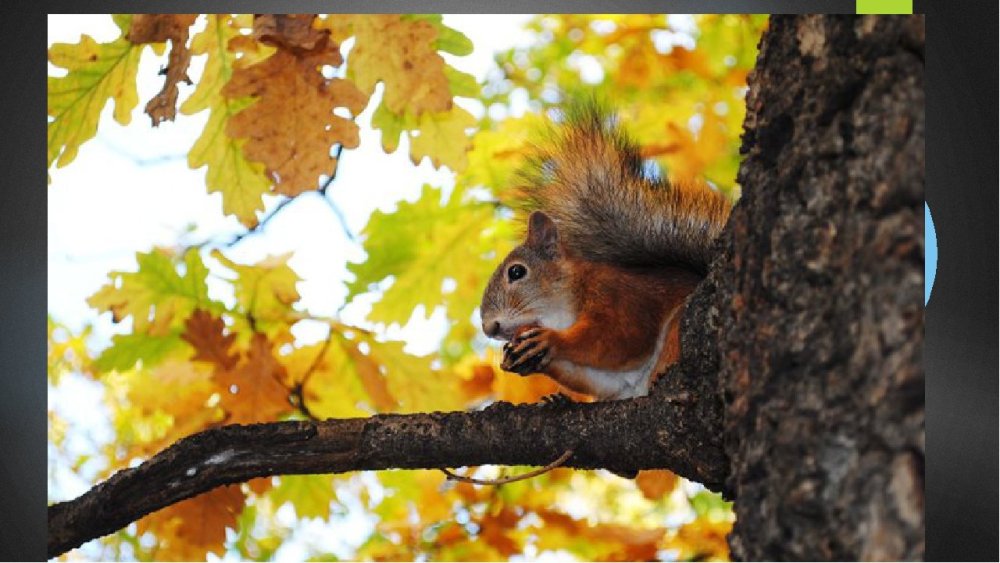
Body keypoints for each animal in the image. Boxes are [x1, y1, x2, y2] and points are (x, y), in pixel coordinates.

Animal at [476, 100, 728, 400]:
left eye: (516, 272)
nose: (489, 328)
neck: (562, 308)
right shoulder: (611, 381)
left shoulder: (620, 295)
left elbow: (620, 338)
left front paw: (552, 340)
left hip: (677, 330)